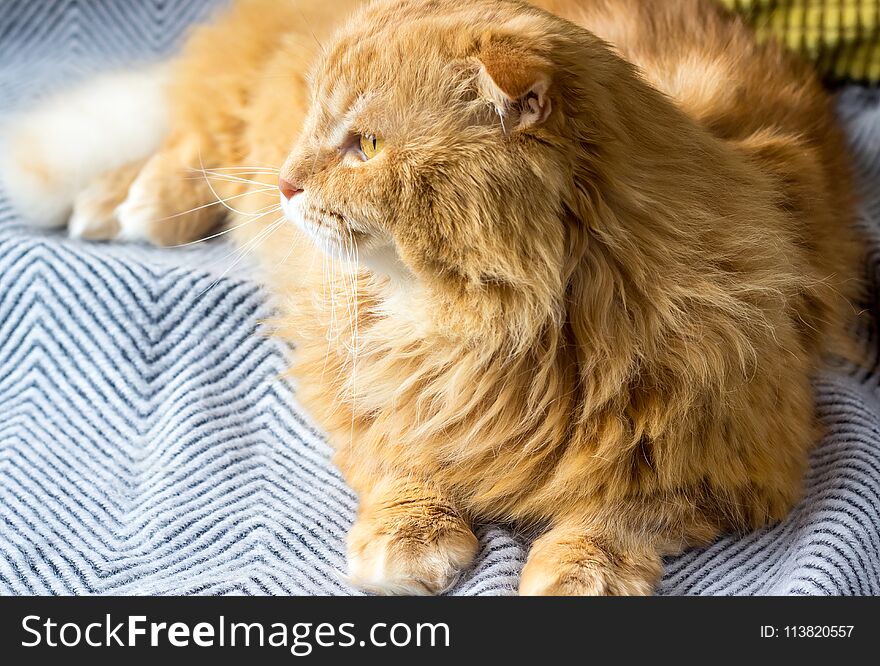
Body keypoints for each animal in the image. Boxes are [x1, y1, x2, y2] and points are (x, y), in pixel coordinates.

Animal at [1, 0, 860, 592]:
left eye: (368, 146)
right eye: (321, 127)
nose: (287, 182)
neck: (509, 332)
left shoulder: (740, 447)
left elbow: (624, 509)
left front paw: (578, 569)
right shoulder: (355, 373)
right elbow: (402, 457)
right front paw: (410, 542)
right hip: (233, 120)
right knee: (195, 144)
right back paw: (128, 203)